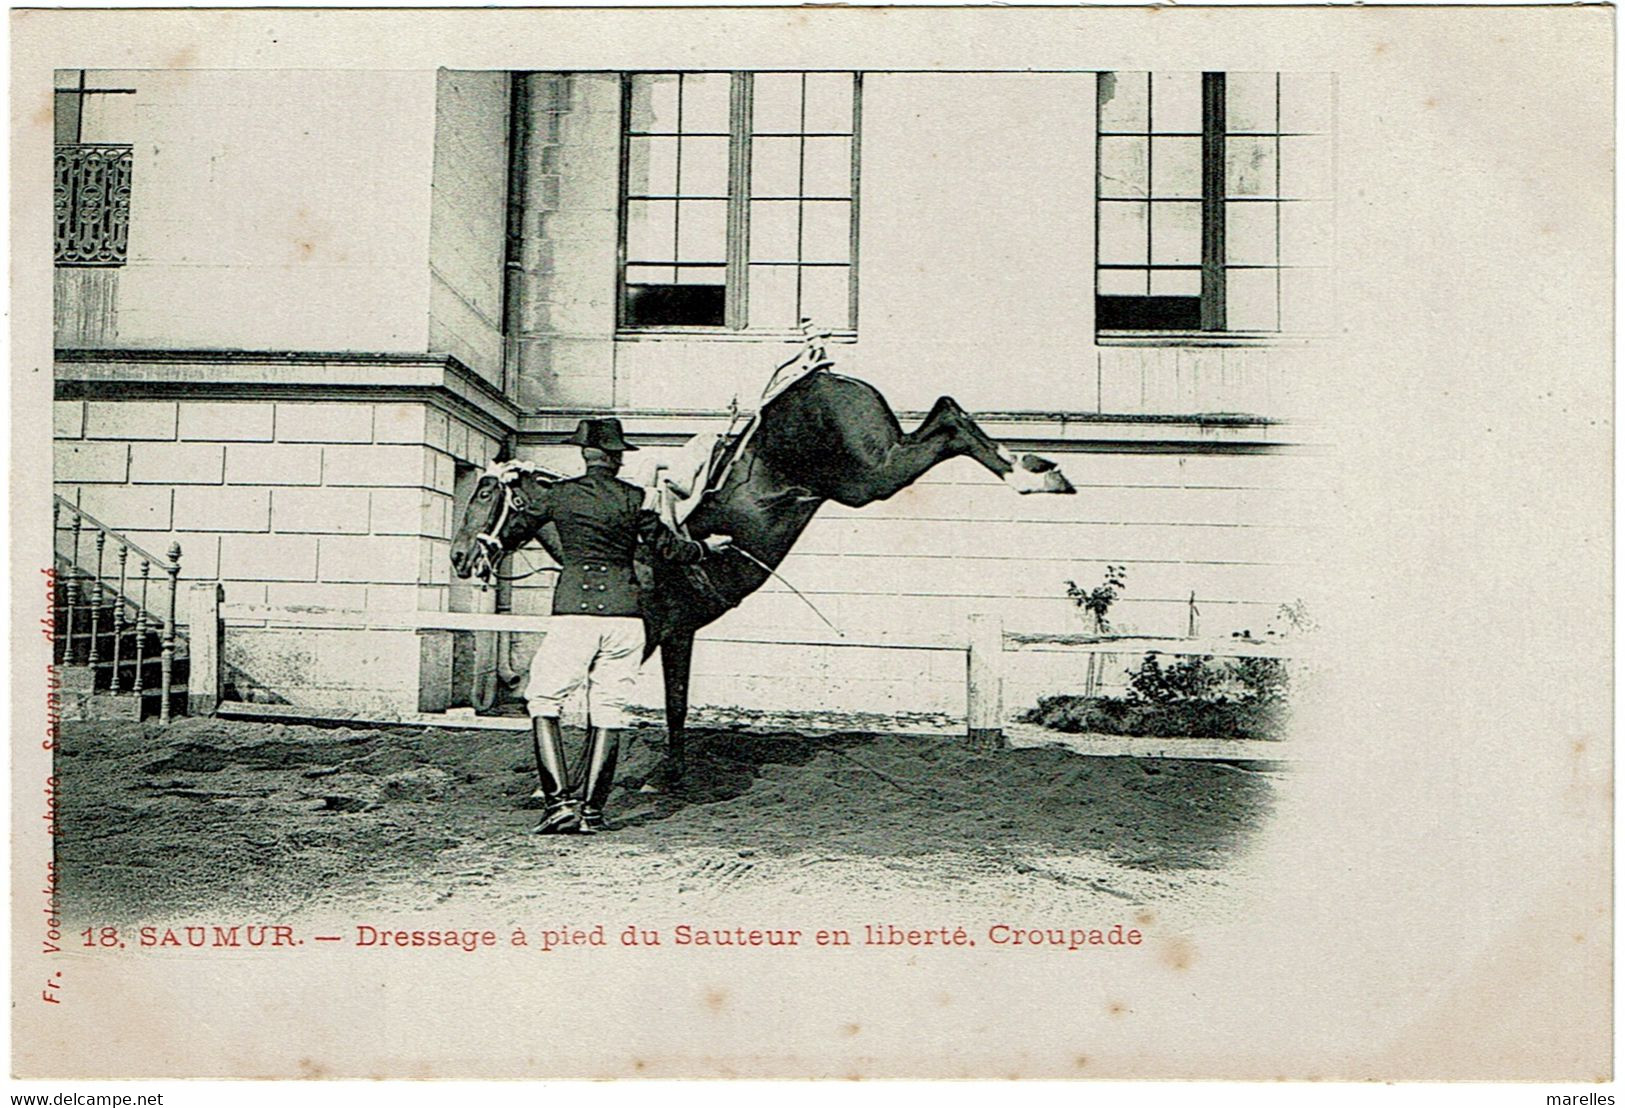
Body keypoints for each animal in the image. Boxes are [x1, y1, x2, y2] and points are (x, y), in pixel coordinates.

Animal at [451, 367, 1072, 779]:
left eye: (484, 492)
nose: (458, 557)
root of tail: (821, 376)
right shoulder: (678, 635)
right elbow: (673, 706)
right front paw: (670, 773)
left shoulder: (653, 635)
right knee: (948, 409)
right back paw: (1038, 469)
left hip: (870, 475)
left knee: (947, 418)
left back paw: (1032, 476)